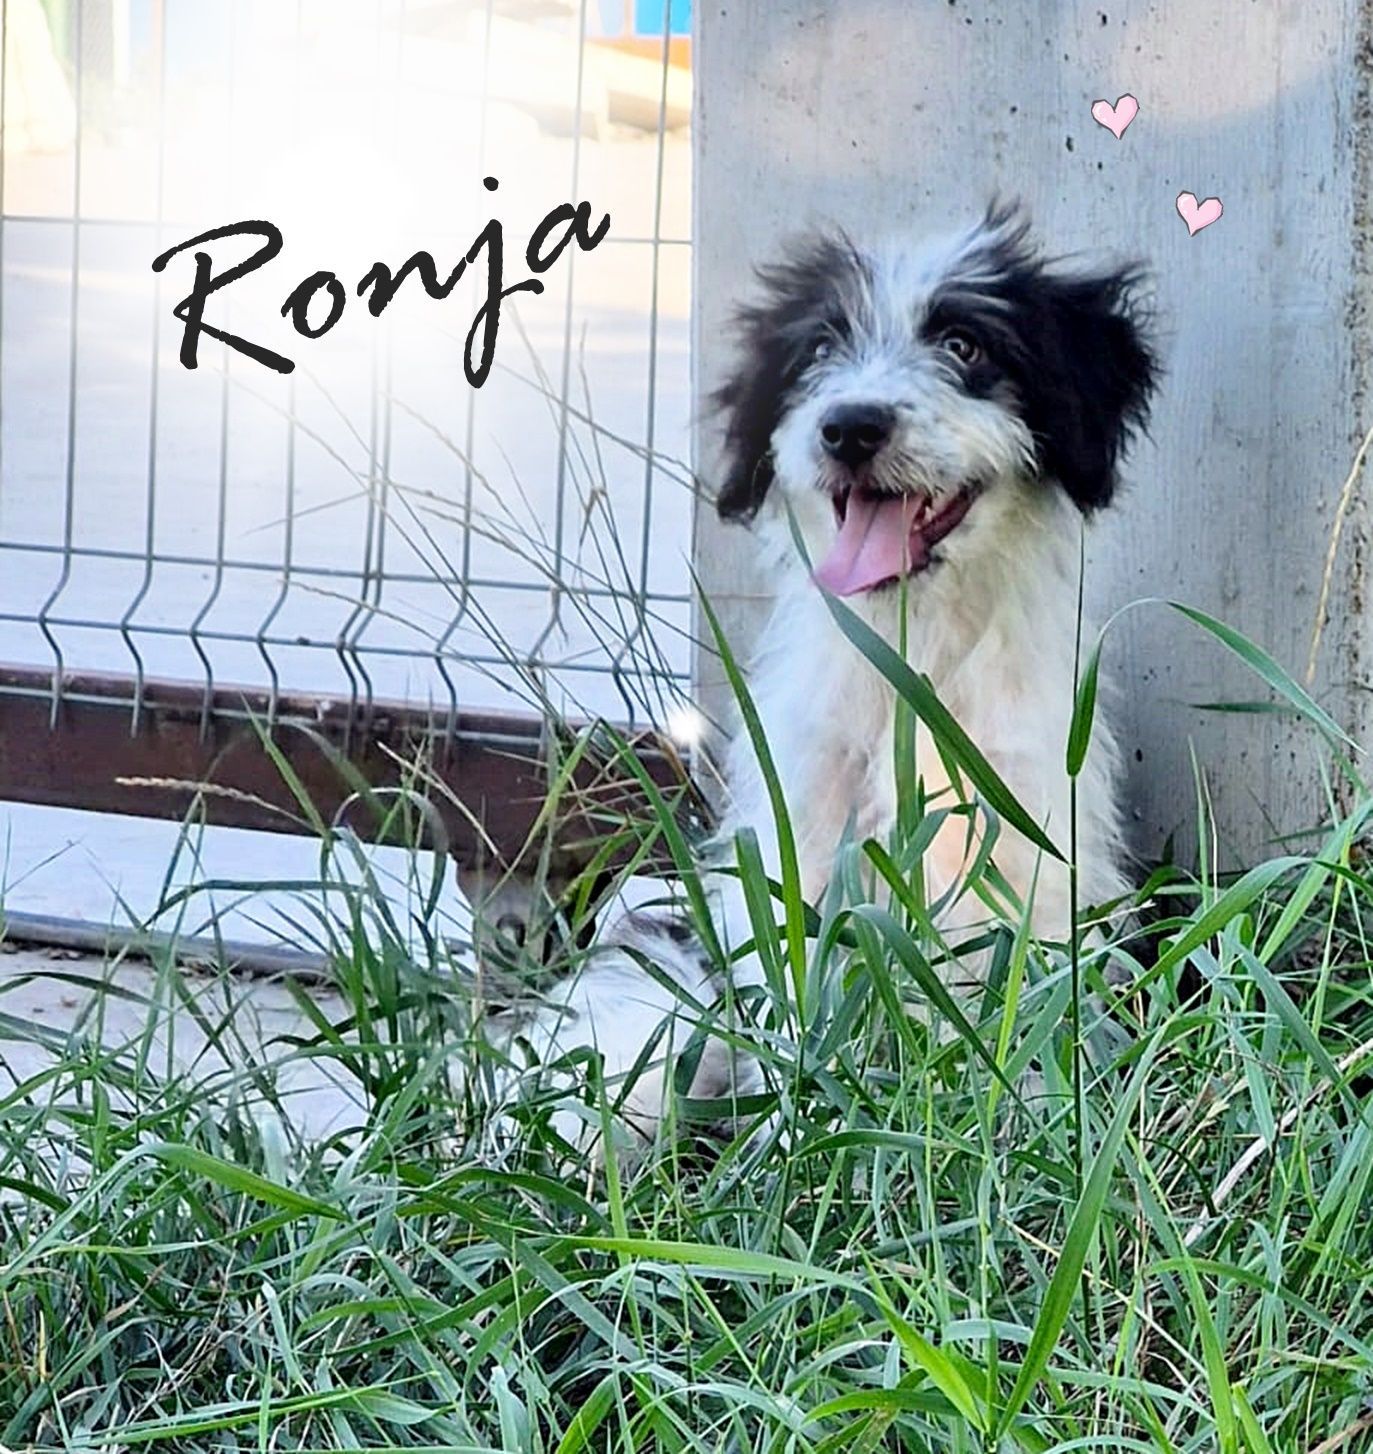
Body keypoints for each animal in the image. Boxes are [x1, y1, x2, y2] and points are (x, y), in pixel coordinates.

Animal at [489, 204, 1159, 1160]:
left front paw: (1020, 1122)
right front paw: (799, 1133)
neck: (910, 656)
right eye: (816, 352)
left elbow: (1014, 997)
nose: (849, 426)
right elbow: (801, 1001)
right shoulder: (795, 843)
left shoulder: (1024, 839)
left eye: (962, 344)